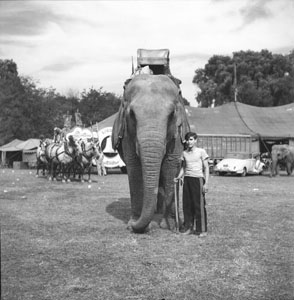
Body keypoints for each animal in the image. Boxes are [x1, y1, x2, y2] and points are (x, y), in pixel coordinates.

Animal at [111, 74, 189, 233]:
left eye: (172, 114)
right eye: (132, 114)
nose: (131, 226)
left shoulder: (177, 134)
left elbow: (170, 166)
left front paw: (170, 225)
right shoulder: (127, 133)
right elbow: (134, 168)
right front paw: (134, 223)